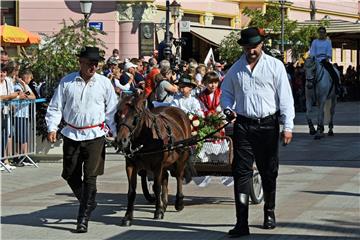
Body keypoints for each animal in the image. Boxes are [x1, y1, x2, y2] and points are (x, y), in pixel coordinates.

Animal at [116, 93, 193, 226]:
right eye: (118, 114)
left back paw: (178, 202)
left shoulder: (157, 165)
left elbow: (157, 187)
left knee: (178, 176)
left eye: (135, 117)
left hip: (181, 158)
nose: (122, 141)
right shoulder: (130, 165)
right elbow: (131, 191)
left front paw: (158, 211)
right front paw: (128, 216)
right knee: (165, 178)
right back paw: (164, 203)